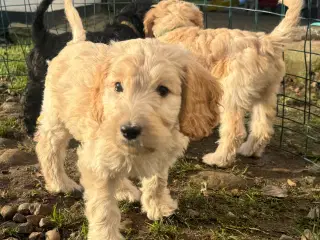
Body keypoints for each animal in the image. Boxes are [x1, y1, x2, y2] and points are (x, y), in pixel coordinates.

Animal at [144, 0, 304, 167]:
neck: (179, 28)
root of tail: (265, 42)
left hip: (231, 95)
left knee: (234, 131)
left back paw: (218, 159)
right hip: (266, 93)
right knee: (262, 127)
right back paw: (249, 150)